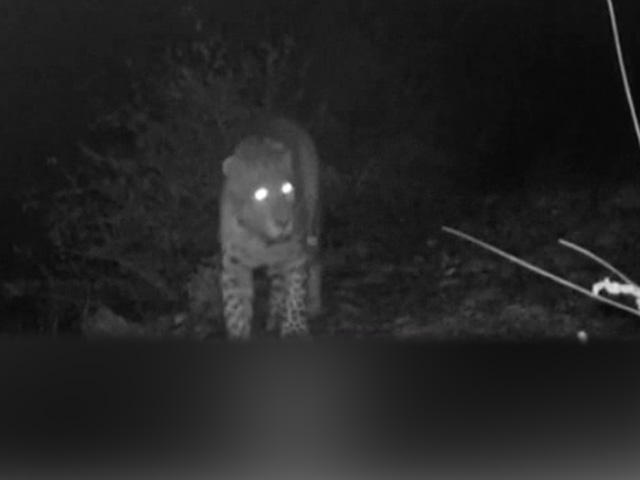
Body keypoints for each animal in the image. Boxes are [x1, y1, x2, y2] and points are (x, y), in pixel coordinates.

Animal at [219, 116, 322, 339]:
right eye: (260, 194)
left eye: (288, 189)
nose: (284, 222)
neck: (261, 240)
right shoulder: (233, 262)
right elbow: (235, 305)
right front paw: (238, 333)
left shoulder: (296, 252)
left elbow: (295, 291)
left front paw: (294, 329)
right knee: (277, 283)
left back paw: (314, 306)